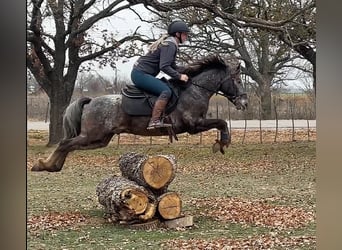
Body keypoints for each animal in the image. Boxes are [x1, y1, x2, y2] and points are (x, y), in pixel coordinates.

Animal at [30, 54, 247, 172]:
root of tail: (91, 101)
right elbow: (221, 122)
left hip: (100, 139)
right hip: (91, 135)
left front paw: (222, 143)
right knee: (65, 143)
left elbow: (221, 123)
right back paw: (44, 165)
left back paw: (50, 166)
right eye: (237, 81)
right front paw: (223, 142)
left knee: (70, 146)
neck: (194, 89)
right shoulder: (194, 125)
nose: (244, 102)